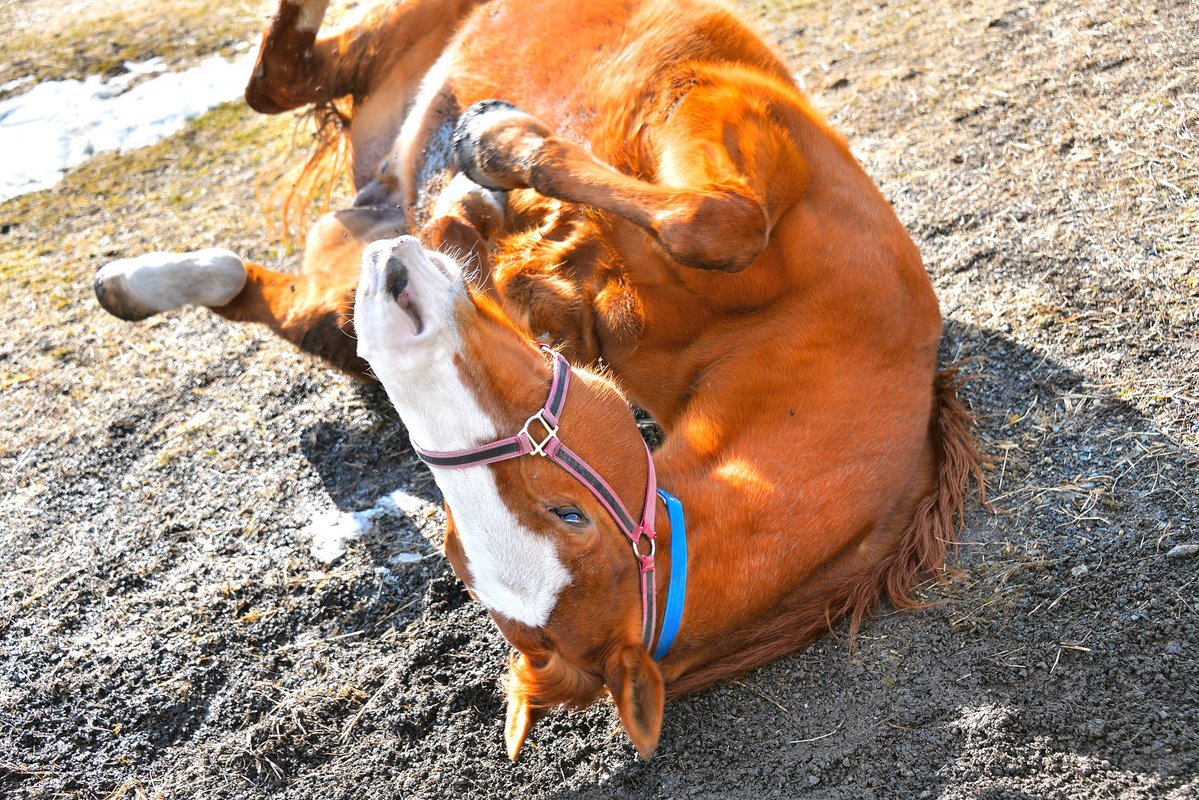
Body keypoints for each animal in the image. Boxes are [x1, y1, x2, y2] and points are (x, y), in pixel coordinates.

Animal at [93, 0, 982, 759]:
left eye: (567, 512)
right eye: (456, 546)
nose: (397, 294)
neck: (832, 335)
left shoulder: (714, 135)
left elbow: (707, 223)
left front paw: (488, 172)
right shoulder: (710, 118)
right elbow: (707, 223)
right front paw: (491, 166)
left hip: (349, 240)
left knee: (292, 228)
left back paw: (151, 281)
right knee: (278, 83)